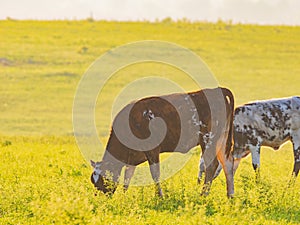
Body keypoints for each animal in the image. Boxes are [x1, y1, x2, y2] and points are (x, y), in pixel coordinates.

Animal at [90, 87, 236, 197]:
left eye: (102, 180)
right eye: (93, 181)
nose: (100, 199)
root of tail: (217, 90)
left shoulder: (152, 150)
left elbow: (155, 174)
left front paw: (159, 196)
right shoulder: (133, 157)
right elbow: (127, 176)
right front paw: (124, 196)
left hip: (207, 139)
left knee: (211, 165)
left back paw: (203, 195)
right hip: (221, 140)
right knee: (227, 164)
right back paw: (230, 196)